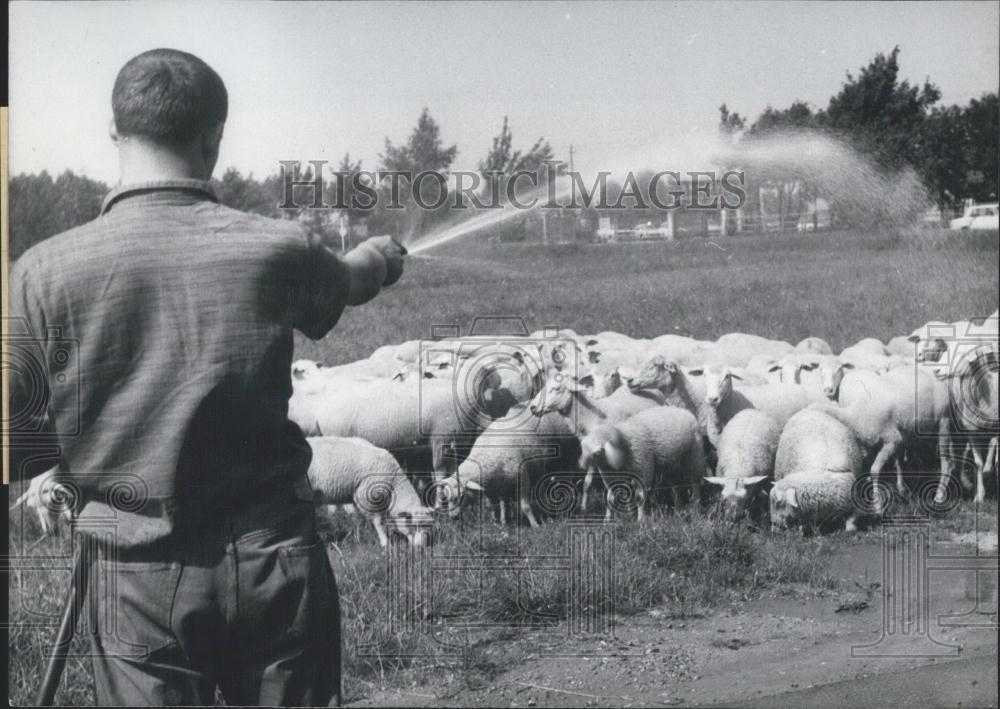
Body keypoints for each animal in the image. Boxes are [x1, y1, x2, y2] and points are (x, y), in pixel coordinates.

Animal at [442, 410, 584, 524]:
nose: (453, 517)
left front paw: (535, 525)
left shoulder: (523, 478)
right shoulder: (495, 487)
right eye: (446, 497)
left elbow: (525, 506)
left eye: (461, 496)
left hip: (566, 455)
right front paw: (501, 522)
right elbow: (498, 505)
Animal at [576, 404, 708, 520]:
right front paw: (607, 520)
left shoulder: (643, 471)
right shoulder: (610, 477)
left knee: (695, 484)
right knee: (676, 487)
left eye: (597, 452)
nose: (581, 465)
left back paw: (695, 510)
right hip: (672, 464)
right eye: (583, 448)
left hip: (694, 457)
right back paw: (678, 510)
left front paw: (640, 521)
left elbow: (639, 497)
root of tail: (681, 409)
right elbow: (610, 498)